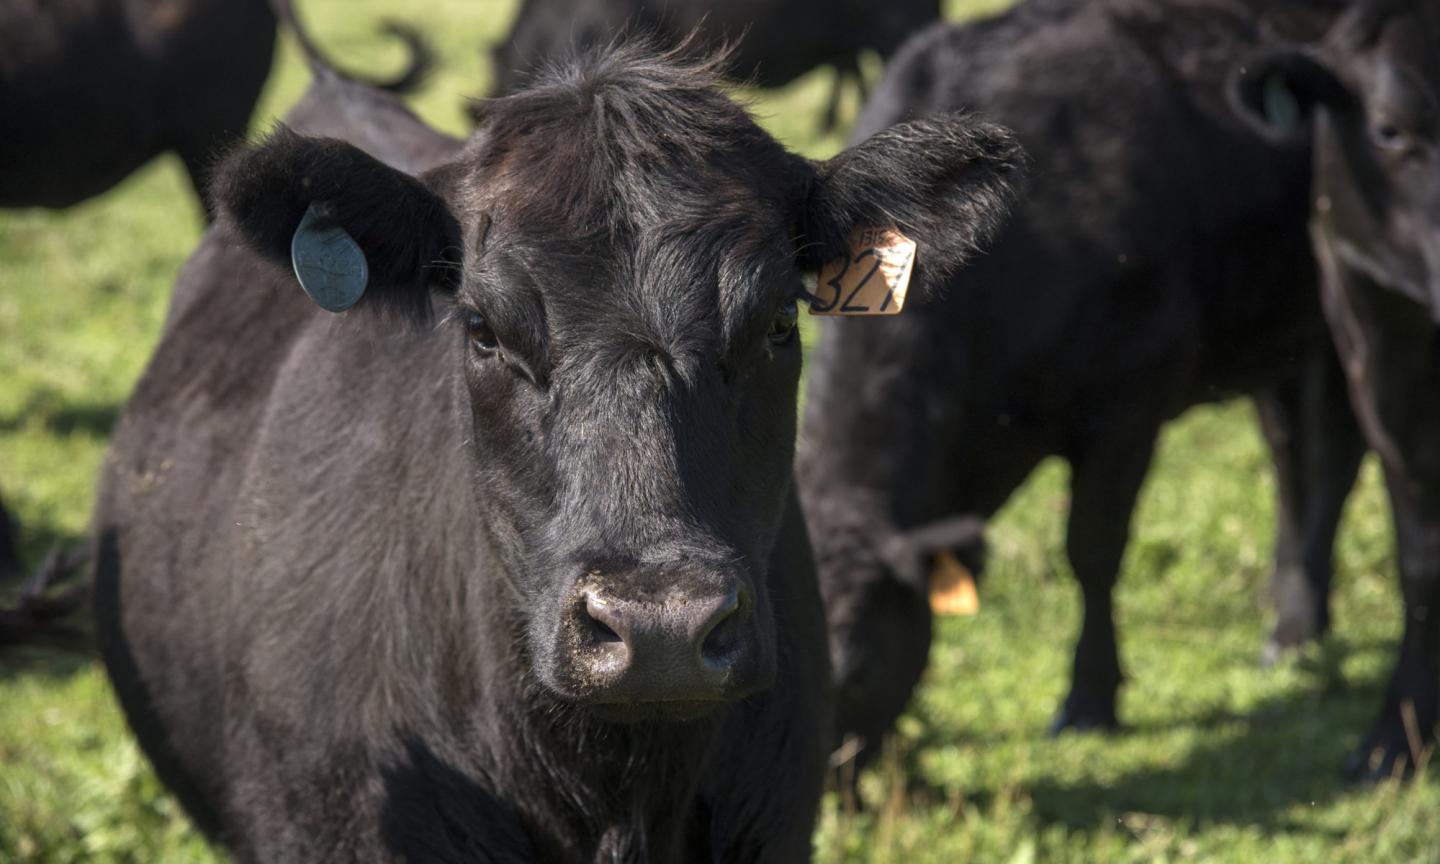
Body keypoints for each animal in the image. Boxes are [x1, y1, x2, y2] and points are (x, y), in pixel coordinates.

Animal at [800, 0, 1370, 771]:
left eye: (854, 672)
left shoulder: (1127, 406)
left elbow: (1092, 552)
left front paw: (1089, 699)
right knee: (1289, 456)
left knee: (1334, 459)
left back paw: (1298, 627)